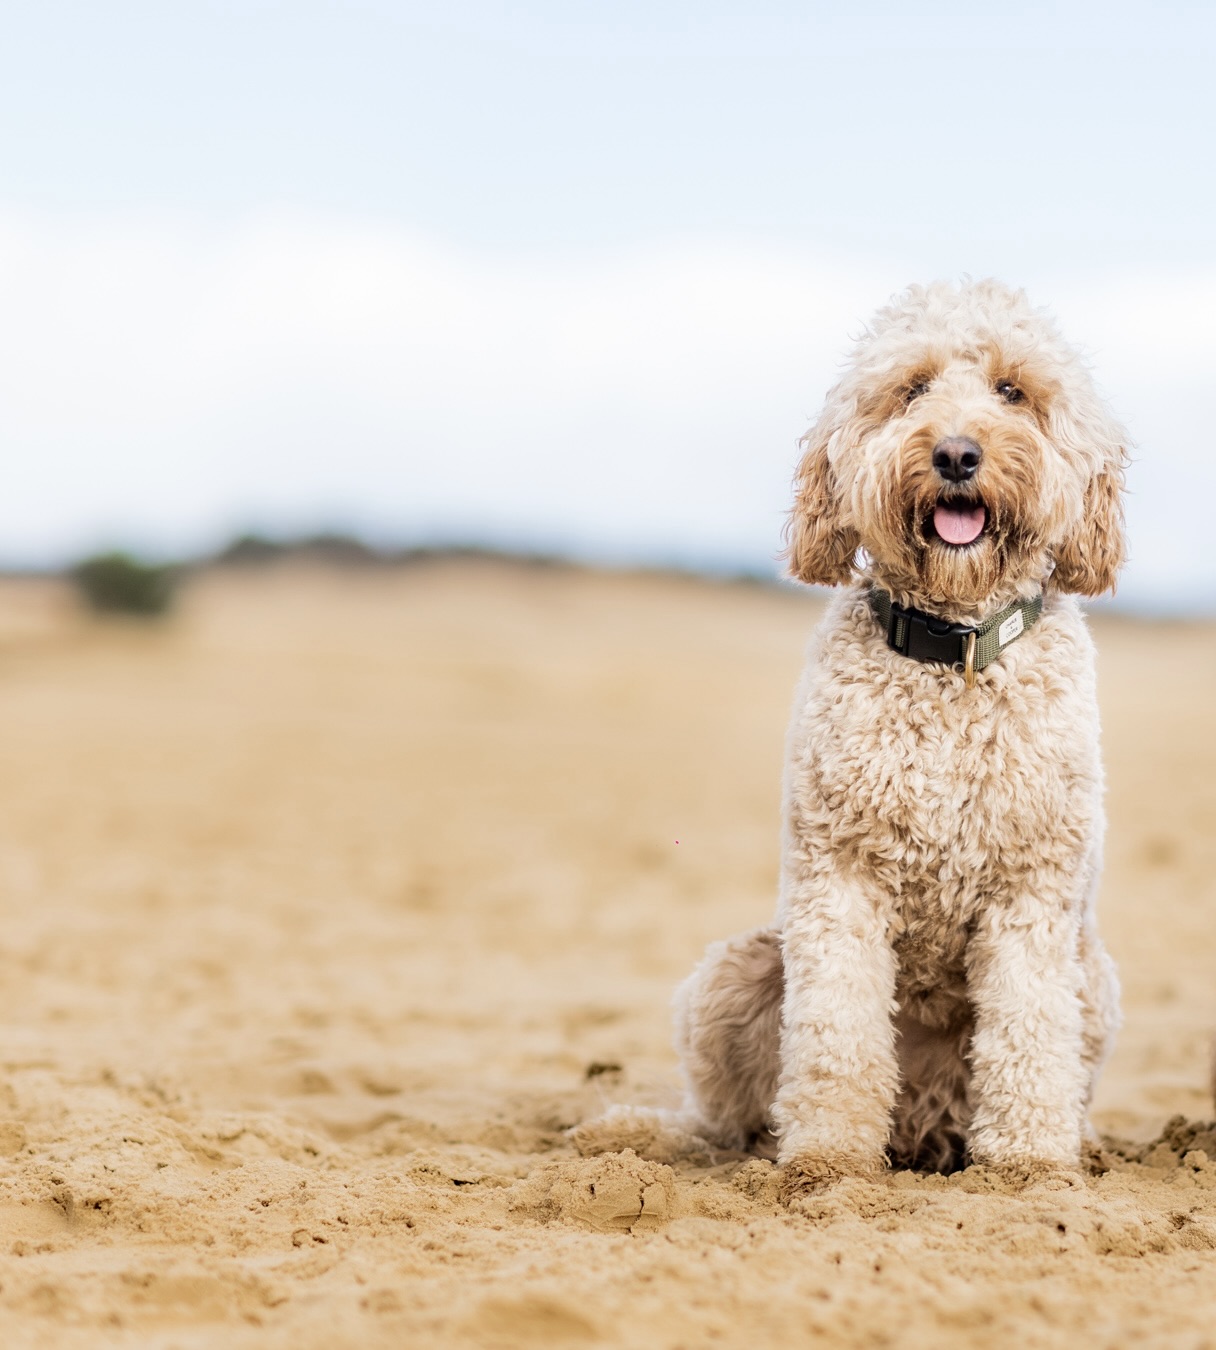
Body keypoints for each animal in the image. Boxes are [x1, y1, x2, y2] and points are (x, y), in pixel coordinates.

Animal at [669, 279, 1122, 1198]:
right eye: (911, 389)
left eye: (1013, 391)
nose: (956, 454)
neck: (953, 652)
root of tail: (921, 1131)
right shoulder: (839, 879)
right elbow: (836, 1037)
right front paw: (825, 1164)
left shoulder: (1032, 893)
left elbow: (1029, 1036)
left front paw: (1029, 1169)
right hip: (734, 973)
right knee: (728, 1118)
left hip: (1095, 979)